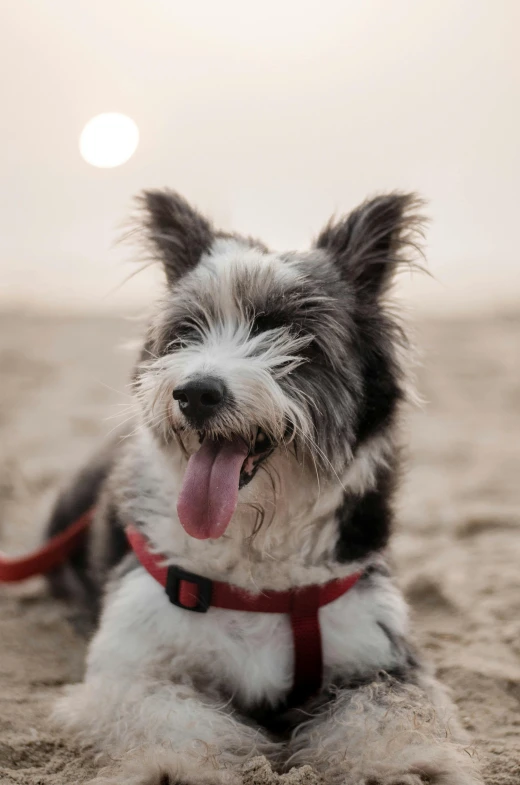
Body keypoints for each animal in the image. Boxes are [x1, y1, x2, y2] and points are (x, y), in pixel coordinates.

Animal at [46, 190, 482, 784]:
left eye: (294, 335)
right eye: (188, 330)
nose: (196, 393)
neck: (252, 553)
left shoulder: (381, 653)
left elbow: (386, 711)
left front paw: (402, 764)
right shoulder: (129, 665)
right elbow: (167, 714)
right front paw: (179, 766)